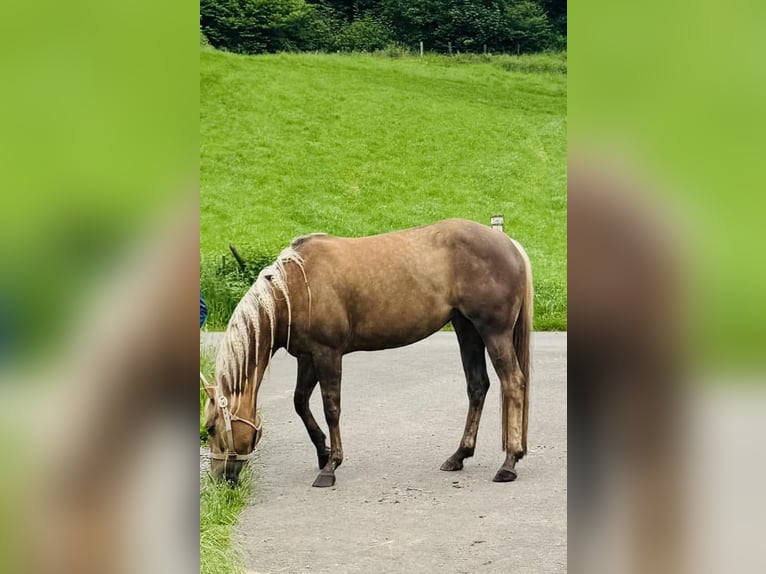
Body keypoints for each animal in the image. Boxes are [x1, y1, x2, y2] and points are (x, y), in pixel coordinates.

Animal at [207, 218, 536, 488]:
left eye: (210, 429)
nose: (220, 479)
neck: (296, 287)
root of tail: (509, 244)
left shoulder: (327, 354)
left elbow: (331, 407)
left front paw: (331, 466)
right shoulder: (307, 357)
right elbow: (300, 402)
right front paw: (323, 452)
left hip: (493, 332)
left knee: (513, 382)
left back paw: (509, 462)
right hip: (466, 330)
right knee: (478, 386)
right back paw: (459, 455)